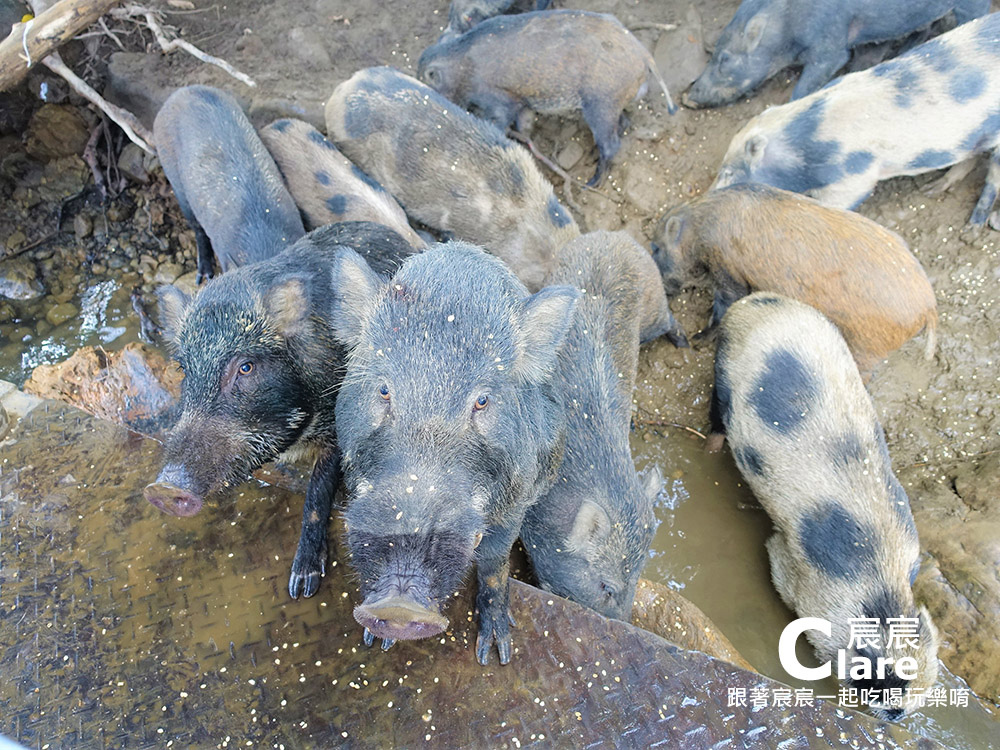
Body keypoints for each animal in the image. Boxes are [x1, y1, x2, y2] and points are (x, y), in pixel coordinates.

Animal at [716, 11, 1000, 226]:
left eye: (728, 173)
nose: (710, 196)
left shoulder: (855, 175)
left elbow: (837, 201)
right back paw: (931, 189)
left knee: (991, 179)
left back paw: (973, 225)